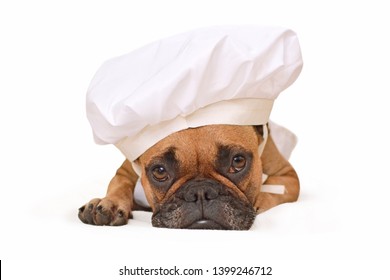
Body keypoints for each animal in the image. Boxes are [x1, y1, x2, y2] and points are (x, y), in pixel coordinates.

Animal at [78, 124, 298, 230]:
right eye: (159, 171)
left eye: (238, 161)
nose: (200, 193)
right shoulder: (127, 171)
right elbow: (120, 184)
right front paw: (109, 202)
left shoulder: (288, 177)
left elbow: (270, 192)